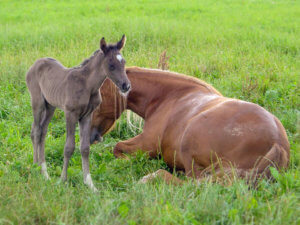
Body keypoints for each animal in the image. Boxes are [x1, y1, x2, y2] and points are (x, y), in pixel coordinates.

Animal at [27, 36, 131, 191]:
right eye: (111, 65)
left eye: (123, 62)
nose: (126, 86)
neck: (88, 86)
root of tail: (35, 64)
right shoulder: (71, 113)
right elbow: (69, 147)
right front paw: (63, 180)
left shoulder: (87, 115)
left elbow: (85, 148)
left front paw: (90, 184)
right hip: (37, 102)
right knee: (35, 131)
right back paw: (35, 167)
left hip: (50, 106)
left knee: (43, 131)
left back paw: (44, 172)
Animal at [90, 67, 290, 185]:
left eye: (96, 97)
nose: (89, 137)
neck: (166, 97)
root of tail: (277, 143)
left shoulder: (147, 144)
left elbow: (117, 148)